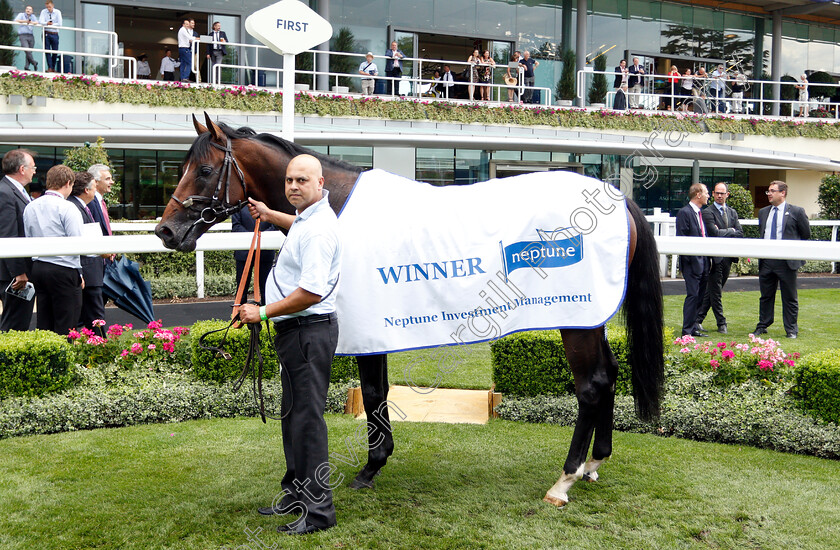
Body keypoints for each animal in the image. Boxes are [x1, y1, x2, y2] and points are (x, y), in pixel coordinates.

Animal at [153, 112, 664, 508]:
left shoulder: (365, 329)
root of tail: (618, 199)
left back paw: (564, 479)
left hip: (575, 321)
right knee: (610, 374)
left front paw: (368, 468)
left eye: (203, 170)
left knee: (591, 385)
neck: (334, 205)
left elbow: (373, 394)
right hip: (592, 317)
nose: (165, 231)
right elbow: (376, 394)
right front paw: (374, 463)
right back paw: (595, 462)